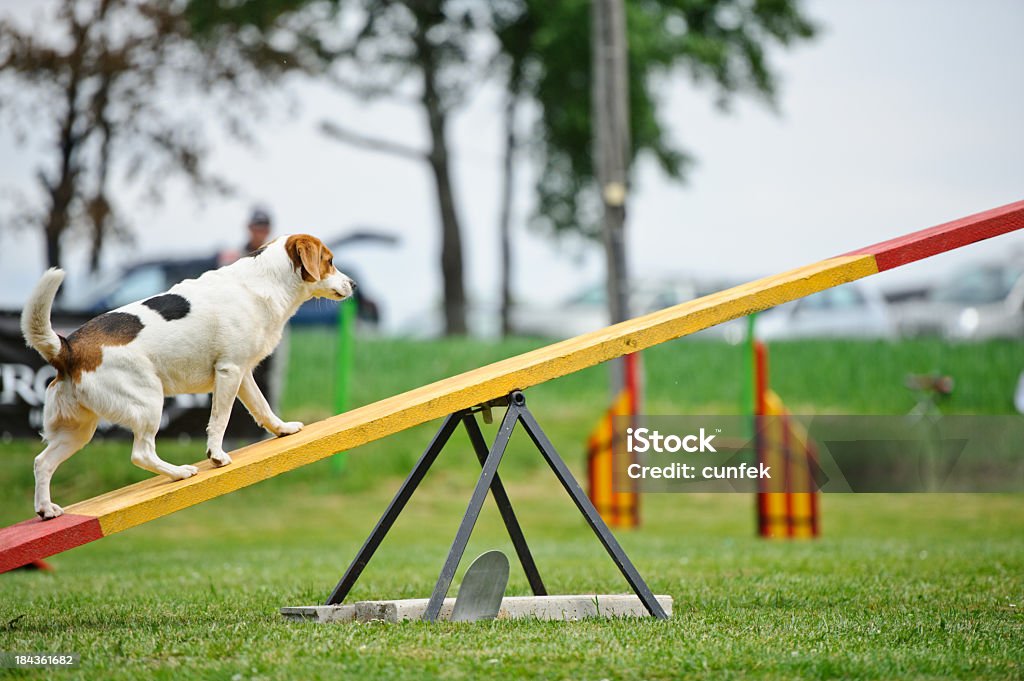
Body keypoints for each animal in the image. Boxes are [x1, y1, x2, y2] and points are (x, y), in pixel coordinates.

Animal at [18, 231, 356, 518]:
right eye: (329, 260)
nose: (353, 284)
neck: (265, 281)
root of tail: (68, 347)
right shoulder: (229, 370)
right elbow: (220, 420)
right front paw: (216, 455)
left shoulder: (242, 373)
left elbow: (262, 408)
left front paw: (283, 429)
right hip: (148, 401)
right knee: (141, 453)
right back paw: (179, 472)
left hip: (78, 430)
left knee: (42, 463)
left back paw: (46, 509)